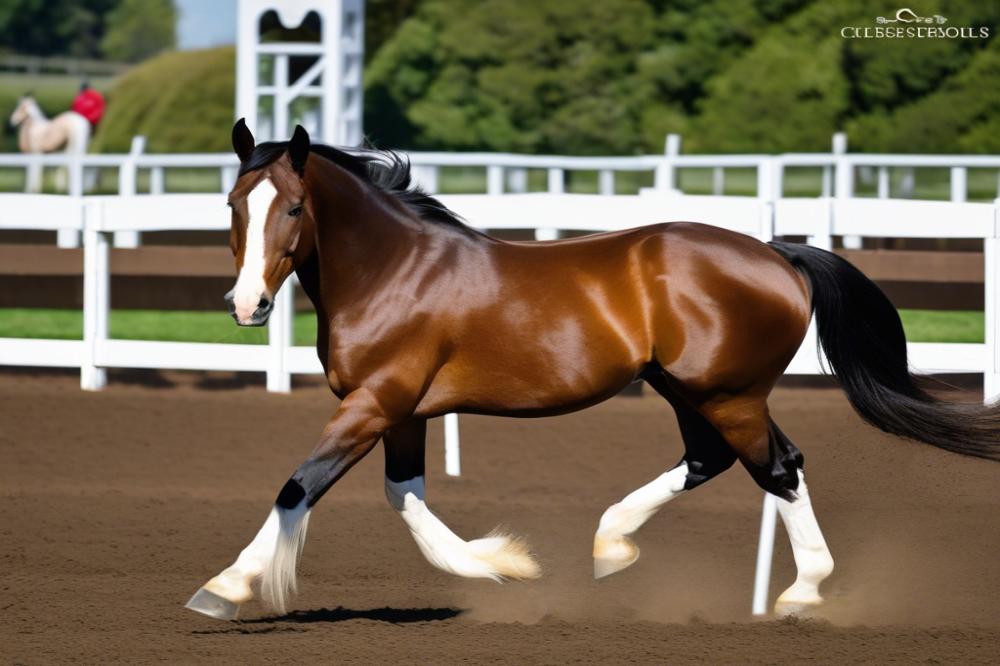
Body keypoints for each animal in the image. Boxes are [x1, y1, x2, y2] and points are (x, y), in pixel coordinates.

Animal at [186, 118, 992, 616]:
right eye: (232, 203)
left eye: (293, 208)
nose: (247, 305)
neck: (394, 271)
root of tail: (775, 253)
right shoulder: (402, 410)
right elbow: (406, 498)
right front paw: (505, 565)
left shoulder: (375, 402)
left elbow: (299, 487)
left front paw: (226, 587)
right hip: (686, 389)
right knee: (713, 461)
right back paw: (611, 547)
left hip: (728, 393)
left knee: (778, 468)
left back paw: (800, 594)